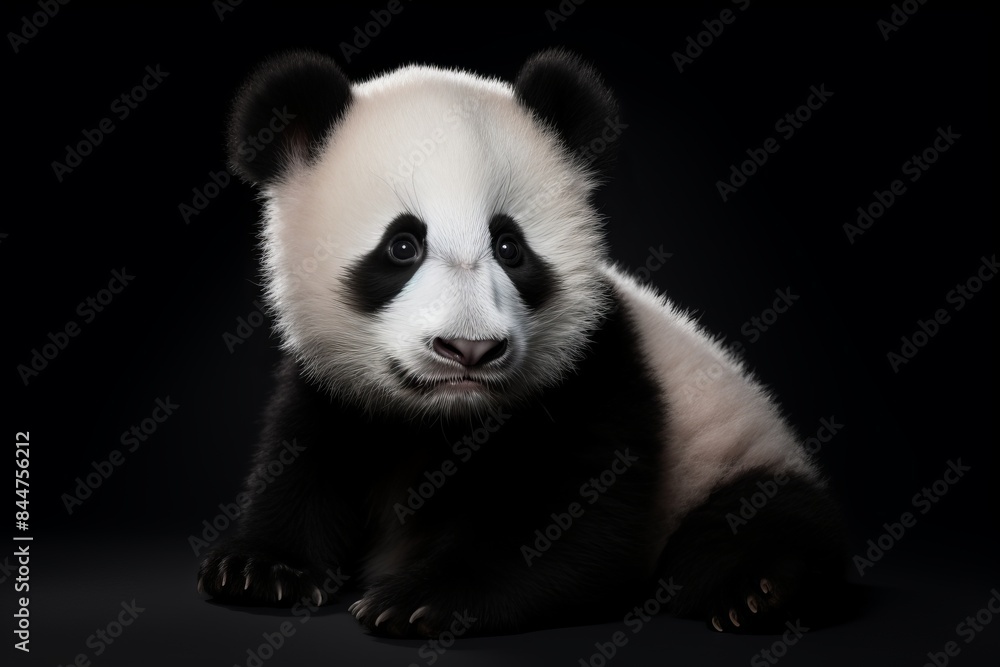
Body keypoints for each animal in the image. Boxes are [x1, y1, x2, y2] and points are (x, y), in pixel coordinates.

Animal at [197, 48, 848, 638]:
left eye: (510, 247)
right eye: (402, 246)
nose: (469, 350)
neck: (448, 420)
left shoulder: (598, 367)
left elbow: (571, 524)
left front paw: (419, 599)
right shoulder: (330, 384)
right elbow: (304, 460)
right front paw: (258, 570)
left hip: (733, 456)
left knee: (757, 520)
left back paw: (760, 590)